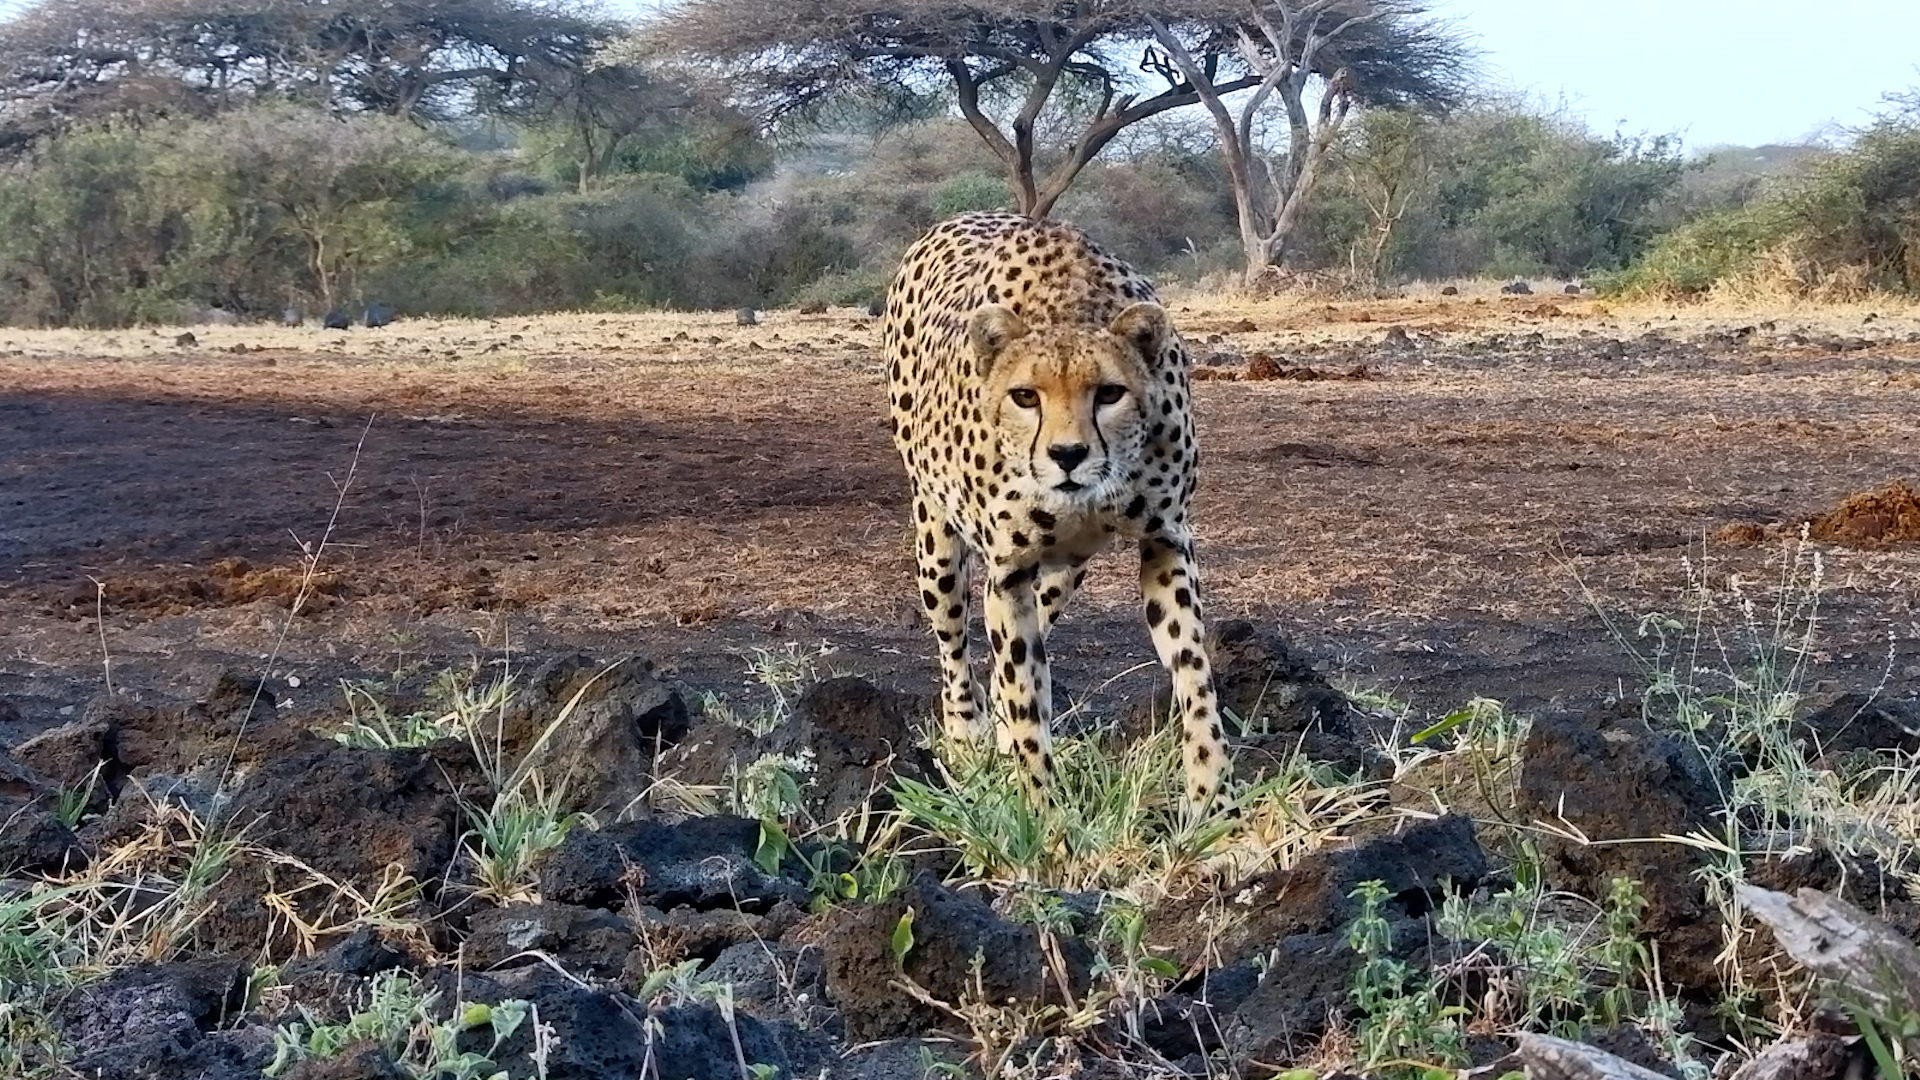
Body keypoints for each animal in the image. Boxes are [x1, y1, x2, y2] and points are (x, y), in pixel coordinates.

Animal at [881, 211, 1230, 813]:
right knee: (956, 643)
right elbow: (1022, 695)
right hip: (937, 539)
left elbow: (1194, 670)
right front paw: (1043, 810)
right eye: (1025, 396)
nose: (1068, 455)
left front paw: (1215, 798)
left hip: (1070, 568)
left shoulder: (1165, 539)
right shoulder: (1008, 570)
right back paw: (967, 735)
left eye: (1109, 393)